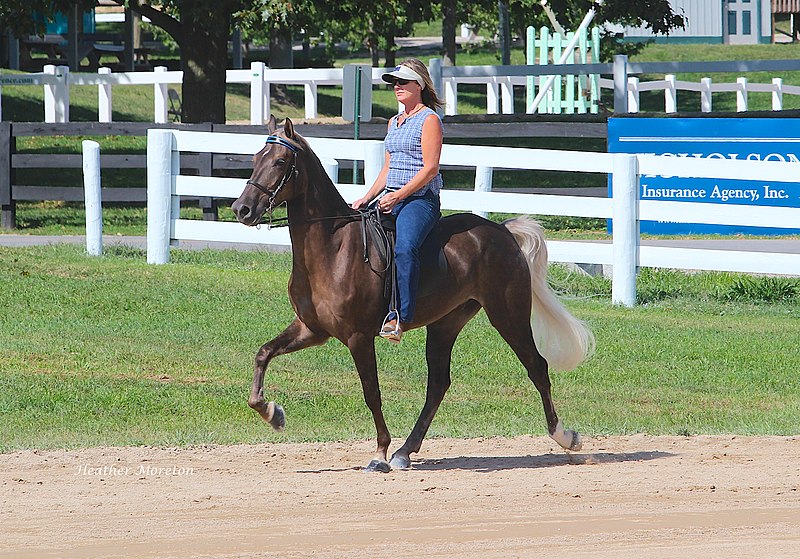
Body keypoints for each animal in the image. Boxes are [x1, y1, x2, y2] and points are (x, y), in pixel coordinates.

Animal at [231, 117, 592, 472]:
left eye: (280, 162)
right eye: (255, 159)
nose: (242, 209)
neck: (333, 248)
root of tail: (501, 231)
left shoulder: (358, 336)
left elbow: (372, 392)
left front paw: (379, 452)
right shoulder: (311, 329)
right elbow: (263, 353)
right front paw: (272, 413)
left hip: (508, 315)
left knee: (537, 367)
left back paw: (566, 438)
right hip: (446, 324)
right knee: (438, 384)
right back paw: (406, 451)